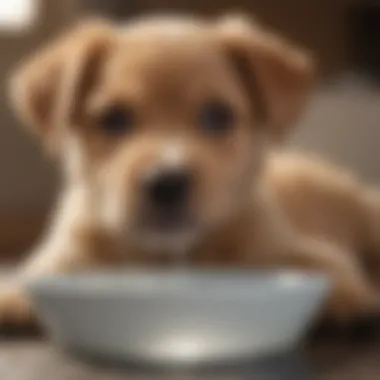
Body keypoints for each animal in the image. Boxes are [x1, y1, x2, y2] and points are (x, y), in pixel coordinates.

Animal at [2, 14, 380, 328]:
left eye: (217, 116)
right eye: (113, 119)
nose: (166, 183)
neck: (171, 256)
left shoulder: (293, 247)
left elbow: (324, 268)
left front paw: (351, 295)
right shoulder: (65, 256)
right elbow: (39, 274)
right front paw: (14, 296)